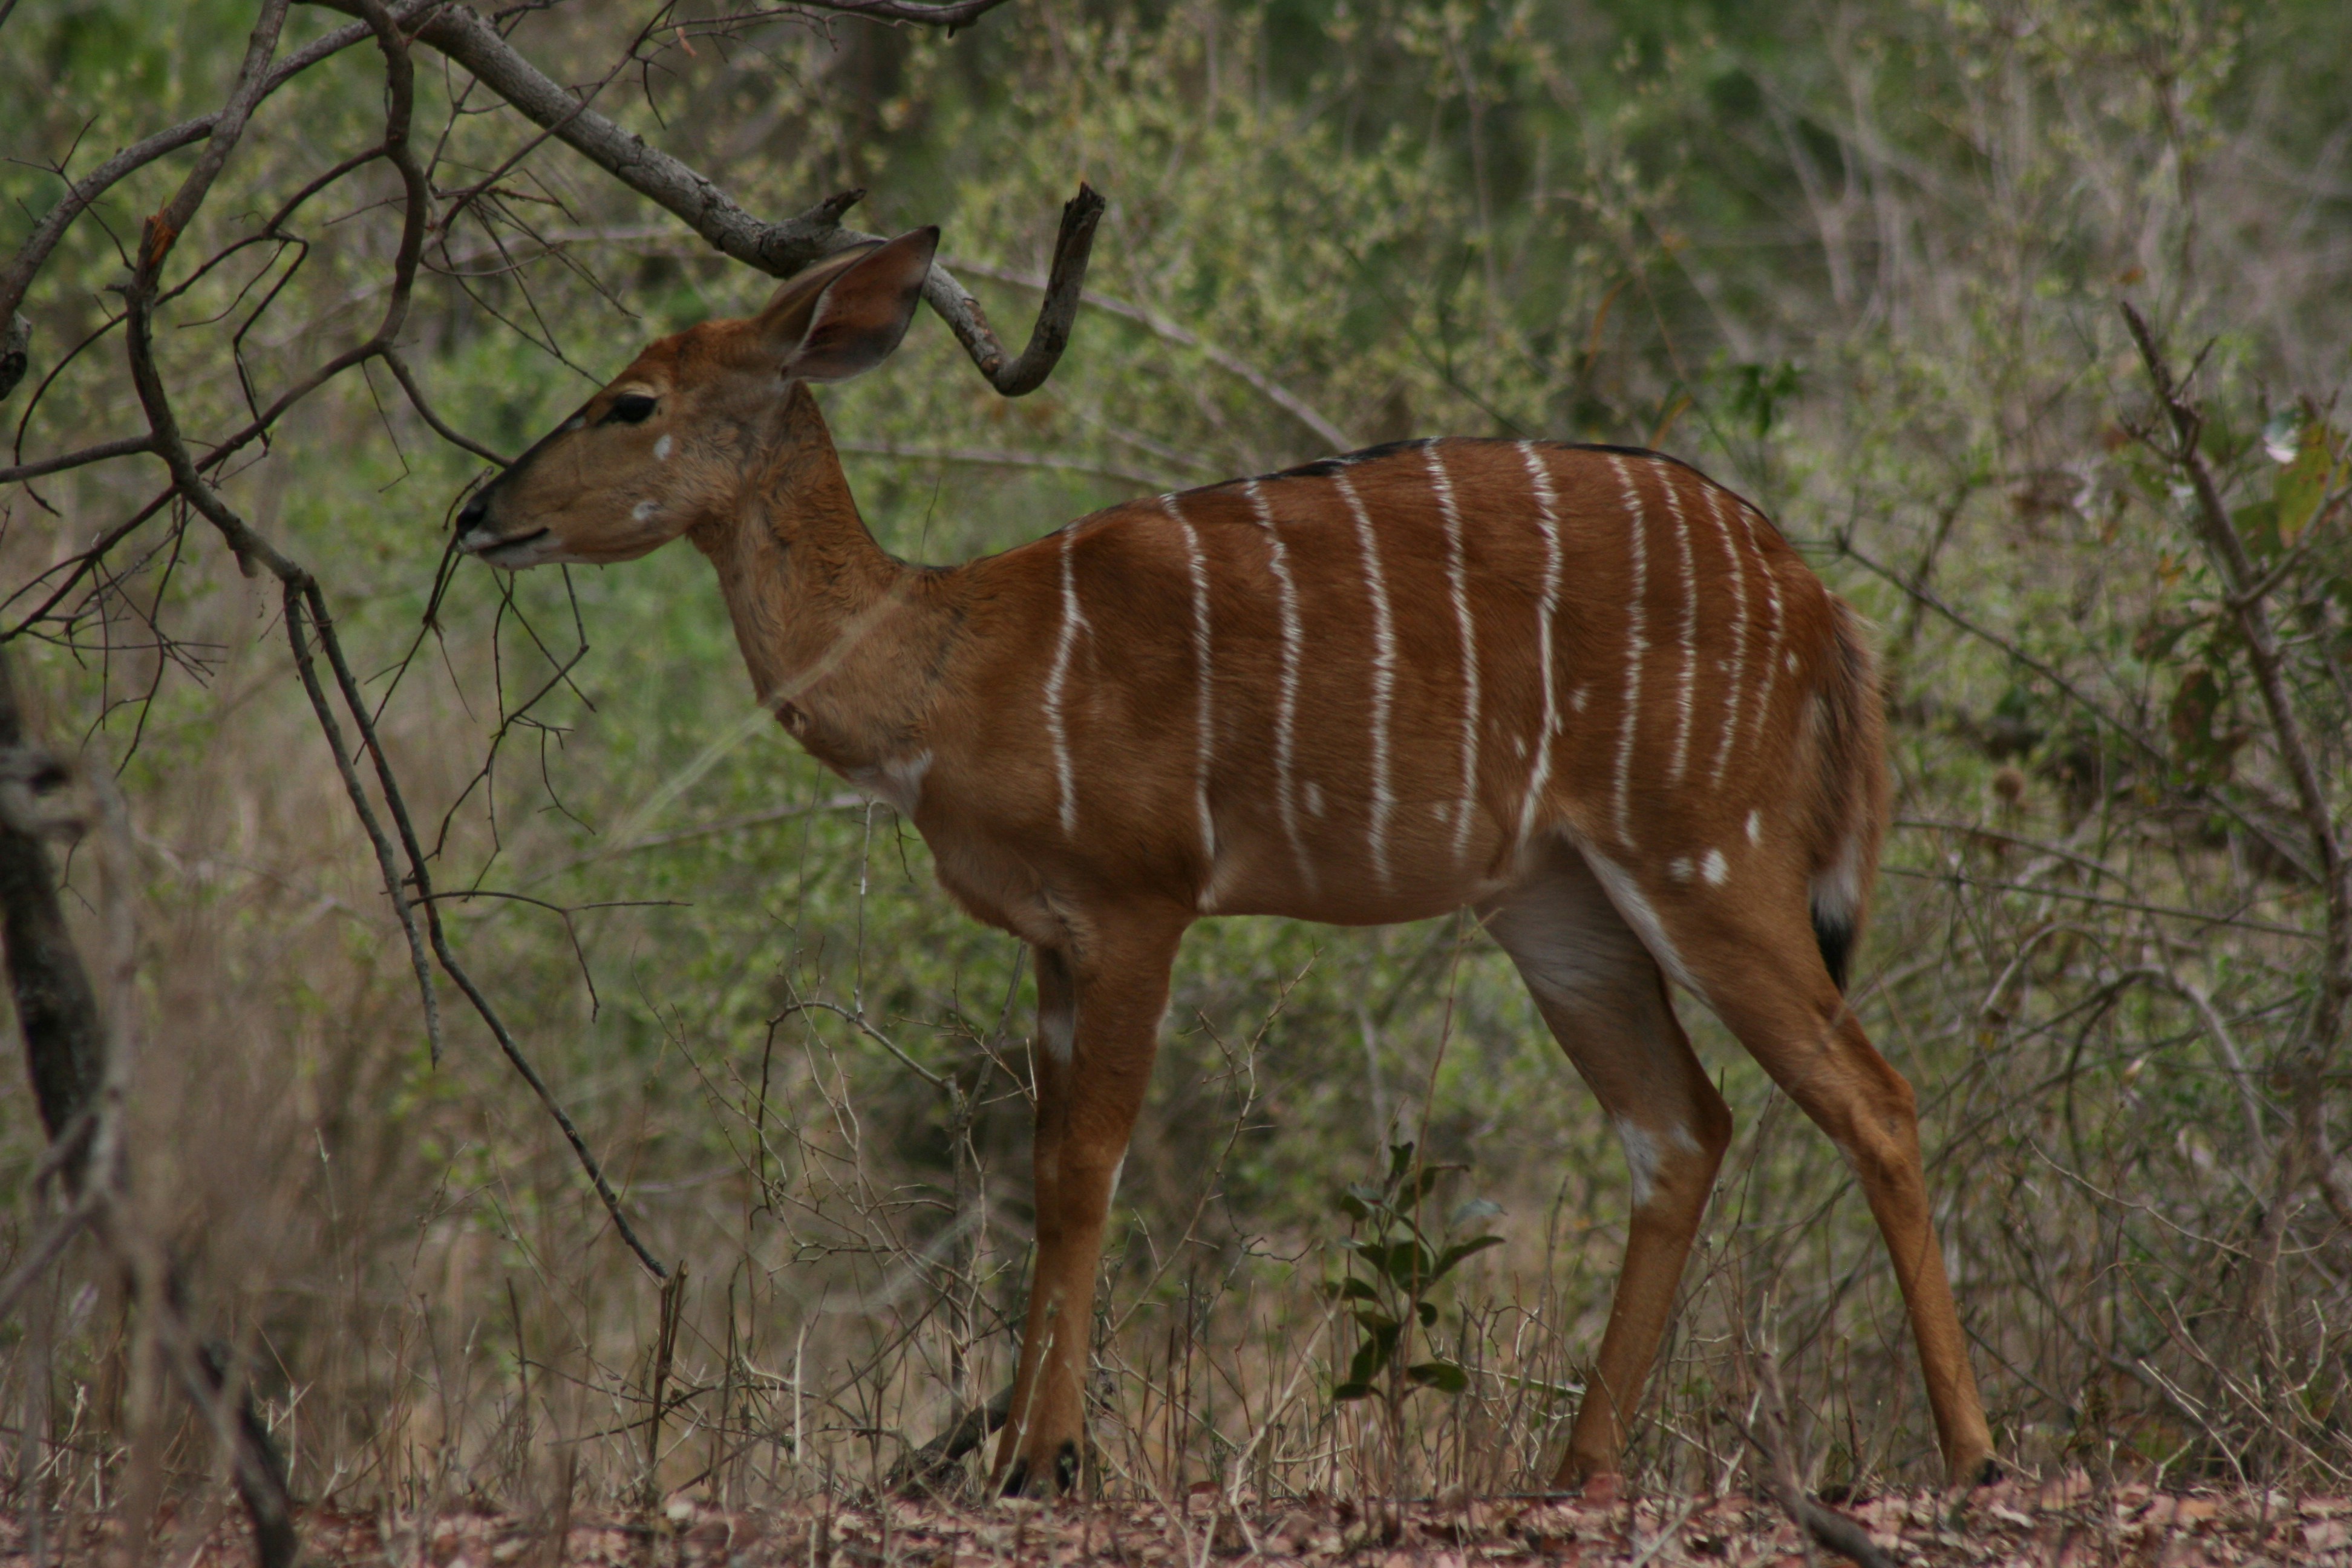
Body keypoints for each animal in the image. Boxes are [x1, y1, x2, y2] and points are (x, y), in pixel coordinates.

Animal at [451, 214, 1997, 1498]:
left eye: (631, 402)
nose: (478, 513)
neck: (955, 665)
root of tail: (1825, 610)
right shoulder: (1052, 940)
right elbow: (1038, 1170)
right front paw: (1015, 1451)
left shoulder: (1140, 900)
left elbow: (1087, 1168)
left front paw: (1044, 1462)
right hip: (1555, 904)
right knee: (1681, 1128)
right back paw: (1573, 1469)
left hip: (1707, 857)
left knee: (1874, 1097)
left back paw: (1973, 1454)